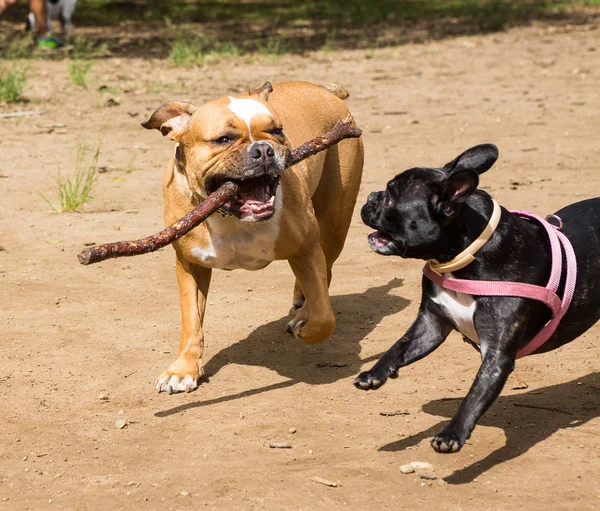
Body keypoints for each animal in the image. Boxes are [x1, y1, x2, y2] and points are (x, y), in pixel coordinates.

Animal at [143, 82, 364, 394]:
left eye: (277, 131)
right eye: (223, 139)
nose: (263, 149)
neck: (230, 217)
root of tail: (323, 89)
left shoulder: (307, 248)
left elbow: (324, 317)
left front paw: (307, 327)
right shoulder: (189, 265)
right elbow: (192, 322)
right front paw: (184, 369)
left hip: (334, 222)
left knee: (326, 273)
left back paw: (303, 311)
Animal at [354, 144, 596, 452]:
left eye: (389, 198)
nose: (371, 196)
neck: (465, 259)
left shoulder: (496, 356)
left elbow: (474, 395)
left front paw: (452, 434)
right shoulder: (430, 326)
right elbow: (398, 347)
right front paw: (374, 374)